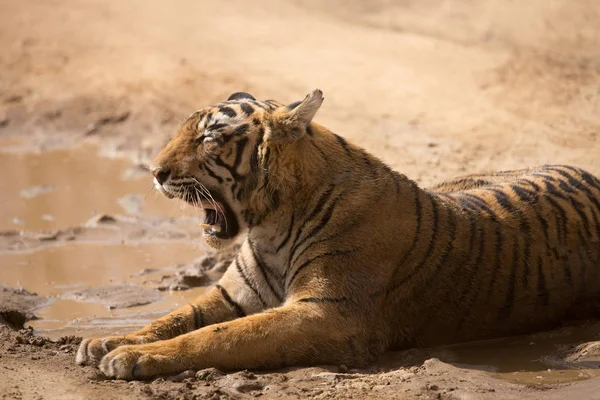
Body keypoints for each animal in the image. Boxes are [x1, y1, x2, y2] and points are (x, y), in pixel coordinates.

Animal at [75, 89, 600, 380]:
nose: (155, 172)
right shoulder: (232, 296)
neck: (269, 225)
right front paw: (108, 341)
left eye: (209, 138)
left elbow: (217, 336)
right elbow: (175, 318)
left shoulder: (326, 314)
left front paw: (129, 357)